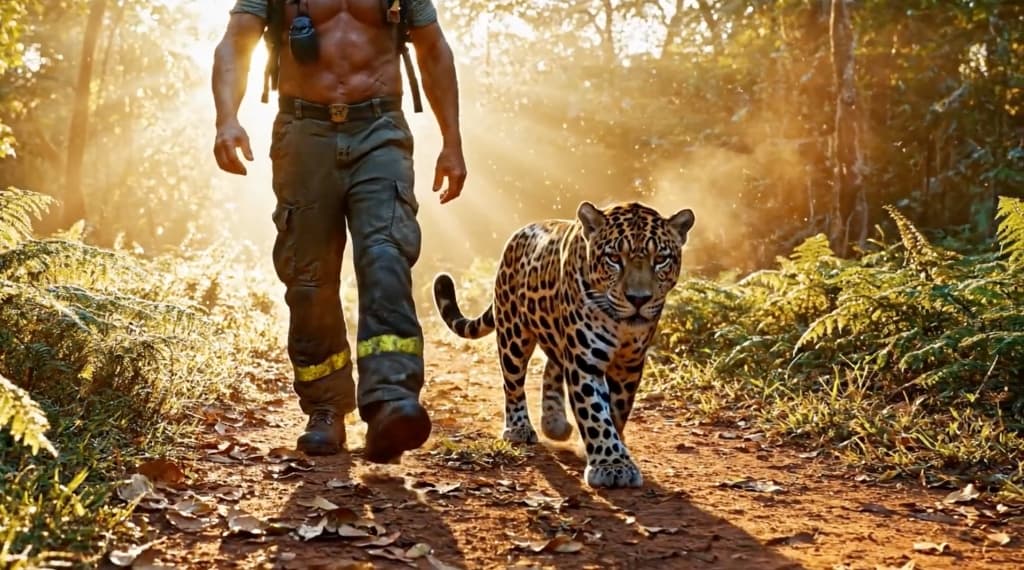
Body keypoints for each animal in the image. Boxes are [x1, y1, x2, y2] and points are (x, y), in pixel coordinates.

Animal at [432, 201, 695, 488]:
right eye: (614, 259)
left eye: (660, 260)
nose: (639, 299)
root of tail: (520, 233)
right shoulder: (585, 360)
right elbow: (594, 412)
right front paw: (611, 465)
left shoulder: (630, 363)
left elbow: (617, 409)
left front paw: (603, 449)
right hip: (513, 333)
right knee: (512, 382)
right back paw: (519, 428)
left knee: (553, 366)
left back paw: (554, 422)